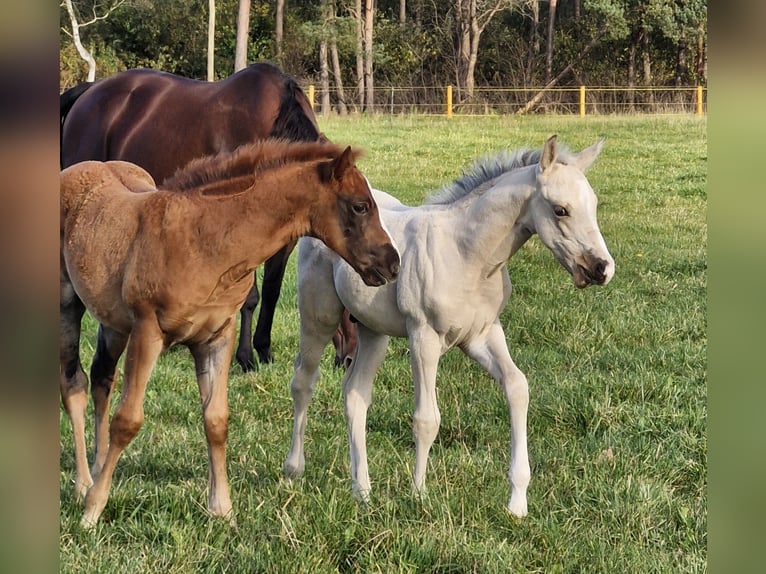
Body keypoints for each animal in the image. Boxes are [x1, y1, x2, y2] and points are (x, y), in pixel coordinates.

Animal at [60, 62, 320, 368]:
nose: (345, 361)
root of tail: (88, 92)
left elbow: (271, 291)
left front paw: (263, 350)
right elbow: (249, 297)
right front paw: (245, 357)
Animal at [61, 138, 402, 528]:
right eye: (360, 206)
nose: (392, 264)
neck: (205, 241)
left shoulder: (217, 336)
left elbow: (216, 420)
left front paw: (221, 509)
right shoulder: (148, 330)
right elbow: (127, 420)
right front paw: (92, 510)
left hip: (114, 323)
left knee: (102, 378)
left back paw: (97, 469)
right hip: (70, 304)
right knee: (74, 384)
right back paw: (83, 484)